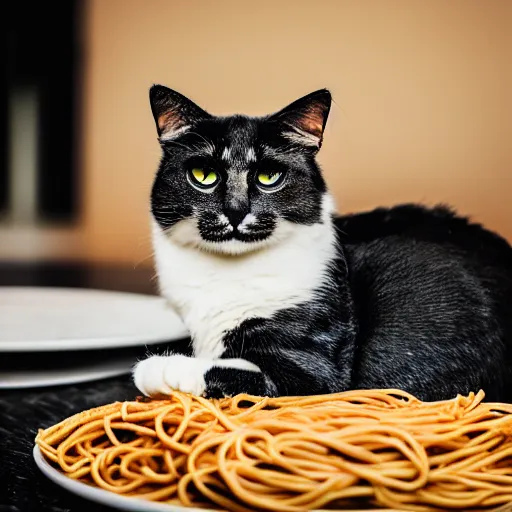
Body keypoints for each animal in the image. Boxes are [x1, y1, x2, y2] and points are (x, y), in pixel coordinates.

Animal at [134, 85, 512, 404]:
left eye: (269, 177)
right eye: (204, 175)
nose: (236, 210)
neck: (228, 274)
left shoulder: (316, 372)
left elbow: (251, 376)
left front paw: (159, 366)